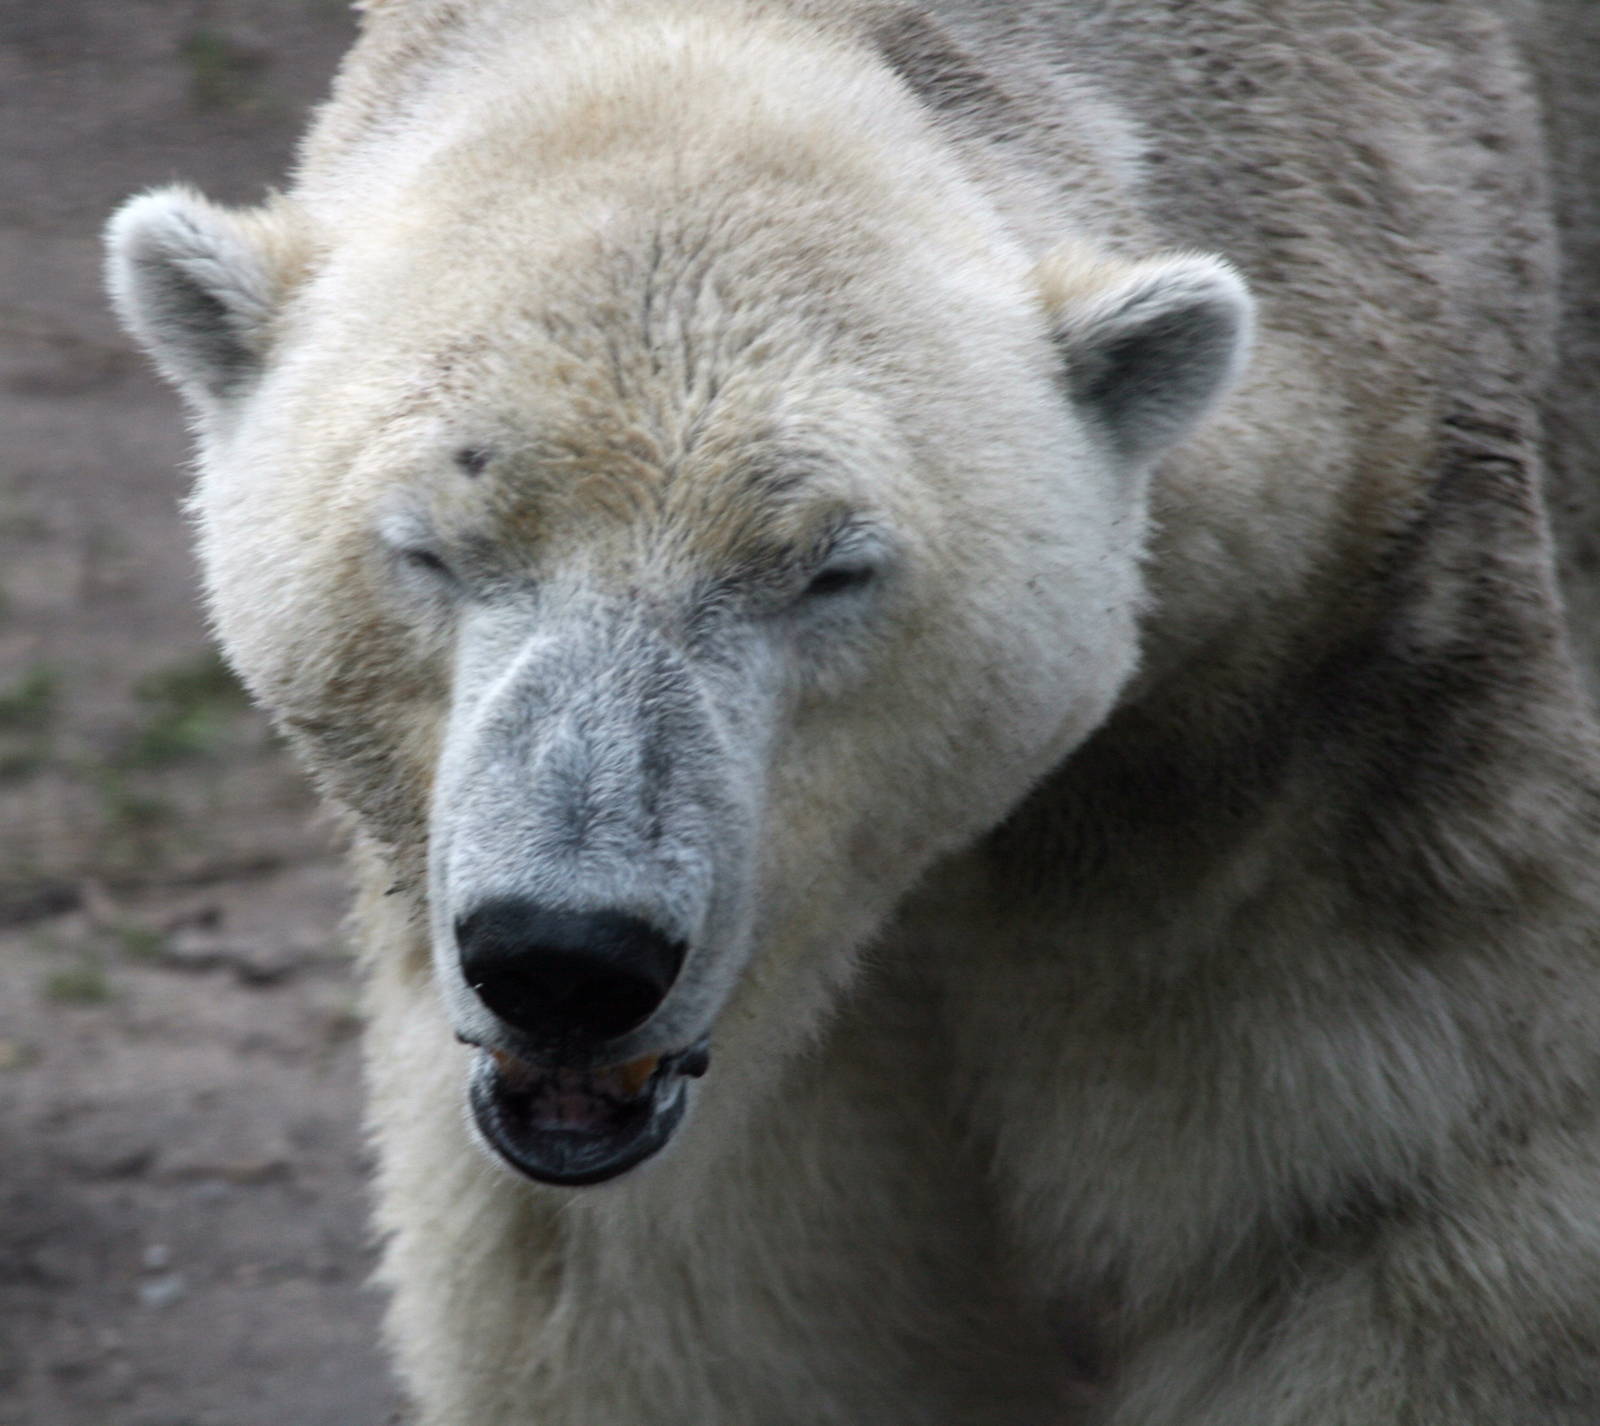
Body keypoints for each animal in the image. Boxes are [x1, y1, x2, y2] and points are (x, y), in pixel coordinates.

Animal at [105, 0, 1600, 1421]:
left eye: (829, 569)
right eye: (427, 545)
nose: (567, 957)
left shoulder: (1326, 691)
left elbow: (1357, 1220)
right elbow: (703, 1299)